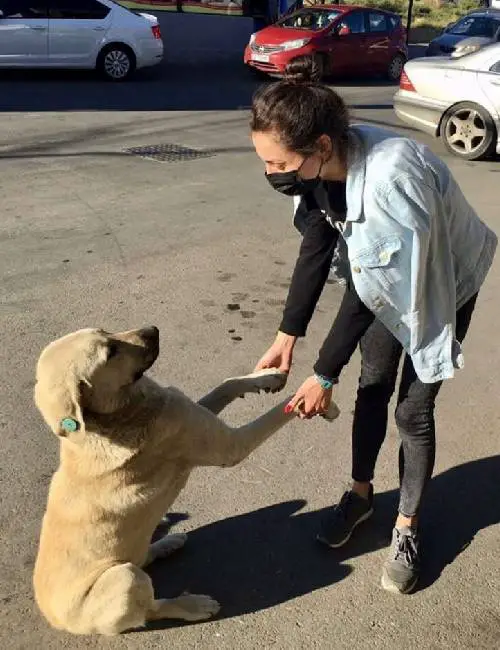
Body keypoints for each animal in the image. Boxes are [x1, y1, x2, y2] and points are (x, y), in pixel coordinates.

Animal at [33, 324, 340, 632]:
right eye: (110, 352)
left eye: (104, 330)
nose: (153, 329)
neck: (113, 417)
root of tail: (53, 618)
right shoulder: (231, 445)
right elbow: (278, 411)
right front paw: (316, 399)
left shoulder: (192, 409)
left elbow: (227, 383)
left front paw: (268, 376)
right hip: (124, 579)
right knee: (150, 609)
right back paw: (193, 605)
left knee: (144, 558)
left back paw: (167, 544)